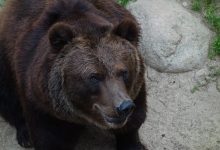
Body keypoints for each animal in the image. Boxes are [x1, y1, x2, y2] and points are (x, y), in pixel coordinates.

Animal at [0, 0, 148, 149]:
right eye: (94, 76)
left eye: (124, 72)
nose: (124, 107)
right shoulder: (41, 102)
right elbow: (49, 137)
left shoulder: (135, 89)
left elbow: (134, 120)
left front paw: (132, 143)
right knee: (8, 97)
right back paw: (25, 135)